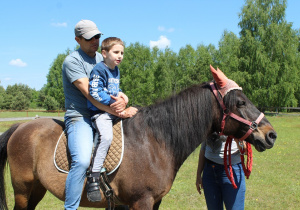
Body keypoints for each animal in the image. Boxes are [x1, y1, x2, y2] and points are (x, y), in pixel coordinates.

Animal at [0, 72, 276, 208]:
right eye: (240, 102)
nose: (270, 134)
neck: (155, 141)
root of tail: (21, 126)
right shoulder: (141, 202)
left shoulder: (153, 202)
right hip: (22, 190)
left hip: (37, 189)